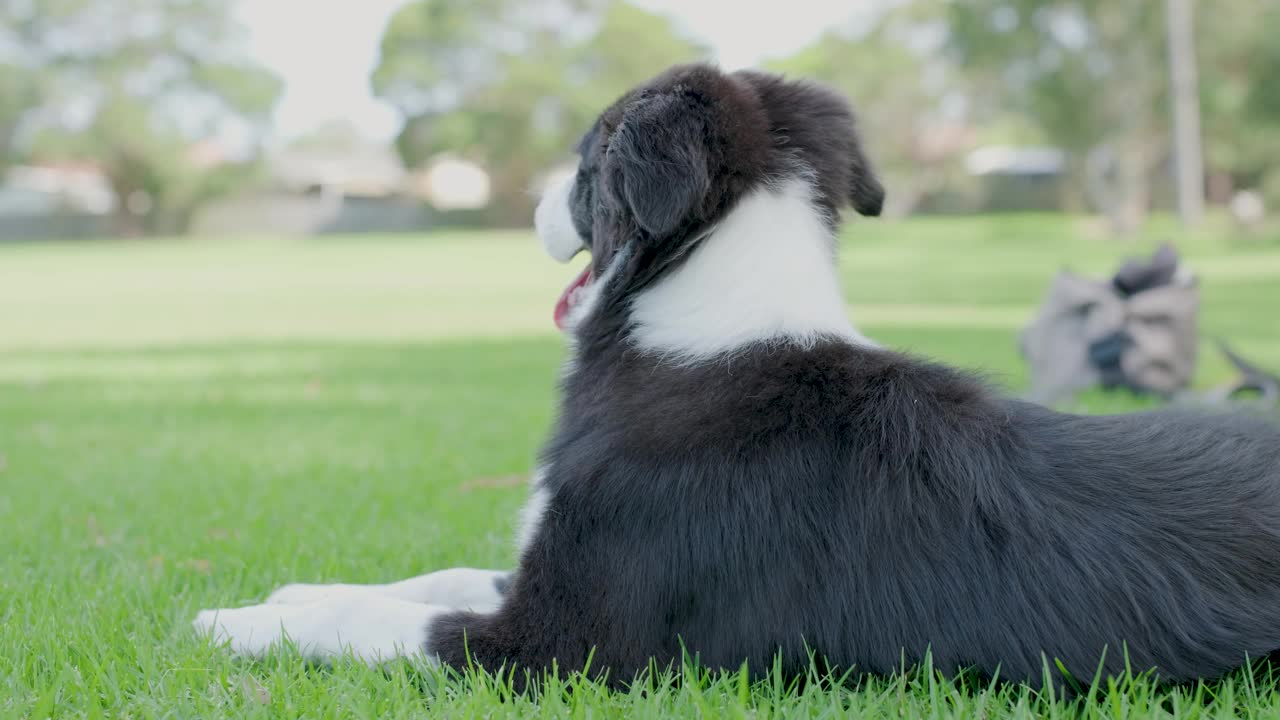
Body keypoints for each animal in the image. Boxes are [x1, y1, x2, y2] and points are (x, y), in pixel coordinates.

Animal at [194, 67, 1280, 691]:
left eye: (585, 155)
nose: (533, 199)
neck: (700, 324)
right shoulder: (552, 567)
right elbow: (432, 576)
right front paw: (283, 592)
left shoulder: (564, 641)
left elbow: (386, 617)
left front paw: (233, 622)